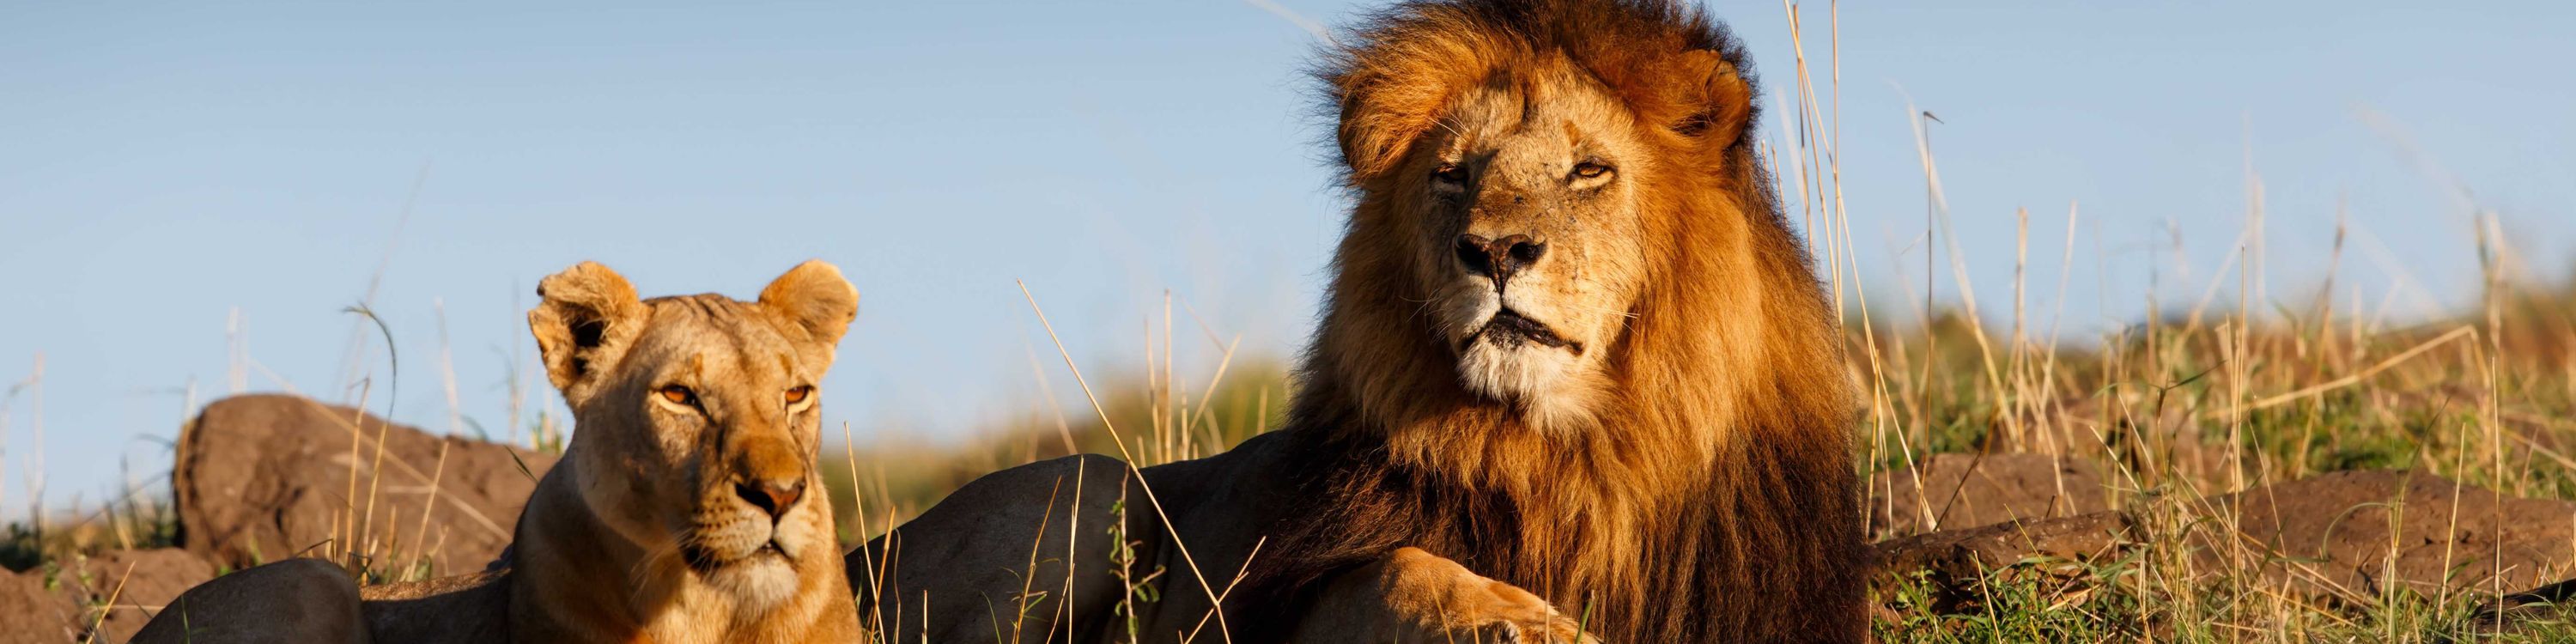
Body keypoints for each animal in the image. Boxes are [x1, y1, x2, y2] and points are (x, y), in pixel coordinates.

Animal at [850, 1, 1865, 642]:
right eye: (1452, 174)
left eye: (1589, 172)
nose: (1495, 252)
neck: (1558, 458)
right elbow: (1398, 566)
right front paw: (1516, 621)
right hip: (1093, 484)